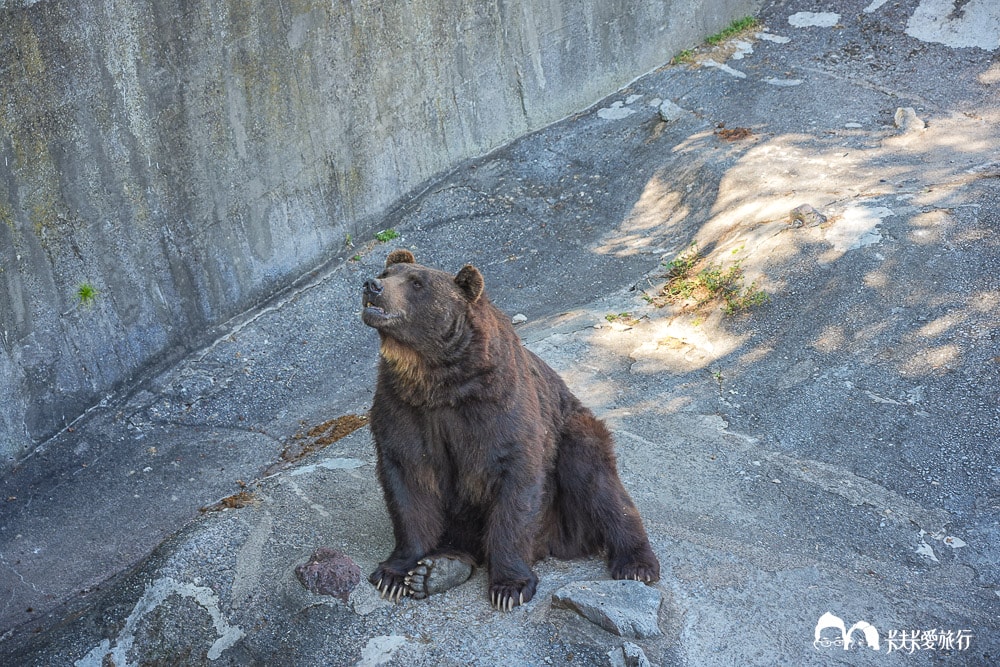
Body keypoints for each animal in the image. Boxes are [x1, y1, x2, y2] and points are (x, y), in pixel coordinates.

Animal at [361, 249, 659, 611]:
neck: (438, 379)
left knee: (597, 481)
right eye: (387, 272)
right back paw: (436, 571)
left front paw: (510, 586)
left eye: (417, 283)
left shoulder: (498, 407)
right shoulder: (403, 406)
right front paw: (394, 573)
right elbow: (407, 479)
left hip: (573, 438)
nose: (372, 285)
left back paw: (636, 564)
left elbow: (515, 482)